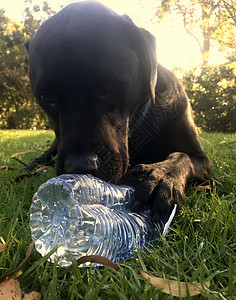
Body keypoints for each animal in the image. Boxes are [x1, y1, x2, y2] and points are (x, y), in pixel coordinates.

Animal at [25, 1, 210, 220]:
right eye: (46, 97)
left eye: (109, 85)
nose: (80, 168)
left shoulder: (201, 158)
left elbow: (182, 156)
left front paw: (159, 177)